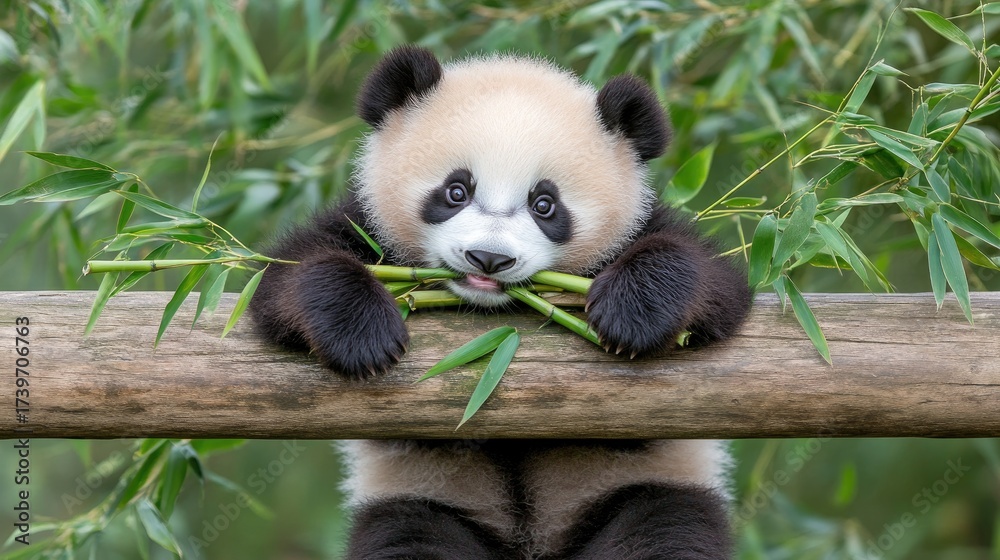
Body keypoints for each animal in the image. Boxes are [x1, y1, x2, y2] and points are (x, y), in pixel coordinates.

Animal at [249, 46, 752, 559]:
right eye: (456, 190)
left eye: (544, 204)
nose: (489, 258)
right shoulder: (364, 228)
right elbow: (282, 280)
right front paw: (363, 337)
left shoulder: (642, 229)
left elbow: (716, 285)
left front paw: (631, 316)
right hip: (426, 497)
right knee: (411, 537)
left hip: (641, 486)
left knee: (660, 532)